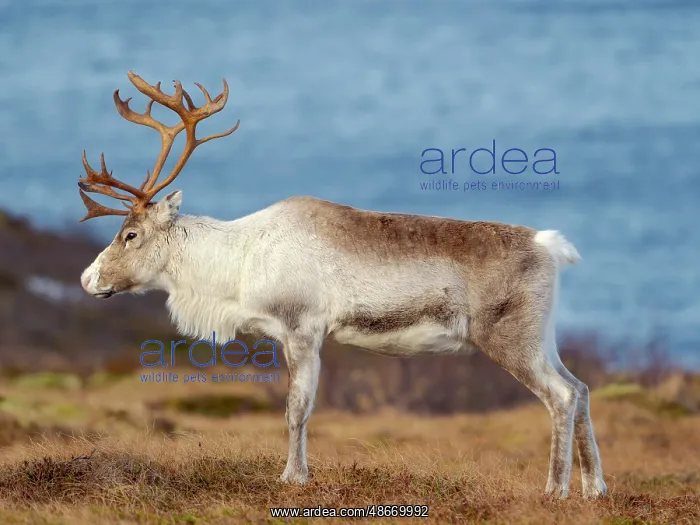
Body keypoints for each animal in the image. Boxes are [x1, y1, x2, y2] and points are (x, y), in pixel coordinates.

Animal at [78, 71, 607, 499]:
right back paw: (594, 488)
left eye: (130, 234)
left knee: (561, 396)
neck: (238, 264)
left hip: (508, 337)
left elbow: (297, 409)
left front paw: (292, 478)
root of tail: (549, 246)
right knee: (580, 388)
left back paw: (555, 489)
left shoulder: (301, 330)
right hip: (542, 337)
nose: (87, 278)